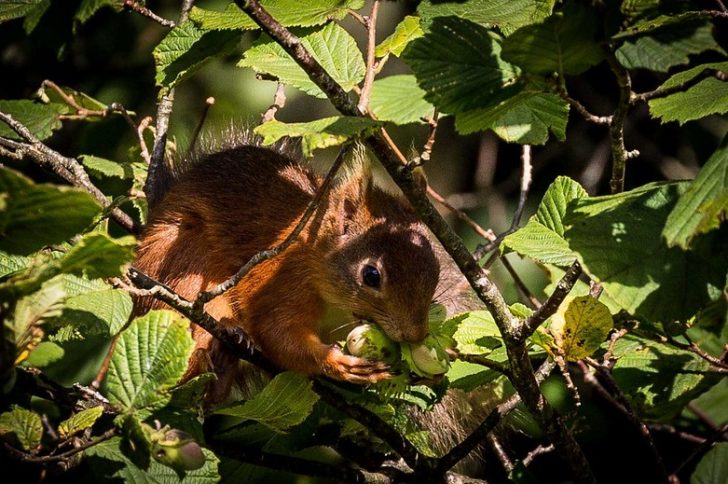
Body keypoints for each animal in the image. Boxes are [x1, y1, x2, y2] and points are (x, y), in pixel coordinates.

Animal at [134, 138, 440, 398]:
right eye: (371, 275)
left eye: (435, 269)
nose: (415, 335)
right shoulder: (282, 279)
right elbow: (277, 333)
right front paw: (337, 363)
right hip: (184, 262)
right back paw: (228, 332)